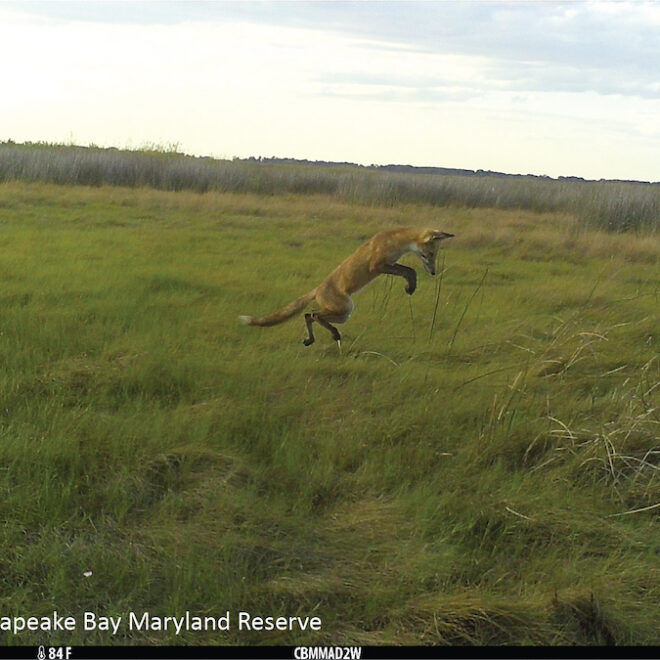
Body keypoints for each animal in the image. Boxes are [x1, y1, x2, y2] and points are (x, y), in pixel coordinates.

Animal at [239, 227, 454, 347]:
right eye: (429, 254)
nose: (433, 273)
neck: (395, 242)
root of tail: (317, 289)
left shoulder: (390, 263)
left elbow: (408, 270)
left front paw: (411, 286)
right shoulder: (377, 265)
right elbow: (410, 271)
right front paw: (410, 287)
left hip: (343, 314)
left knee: (308, 315)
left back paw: (314, 339)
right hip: (345, 308)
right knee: (314, 315)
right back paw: (332, 334)